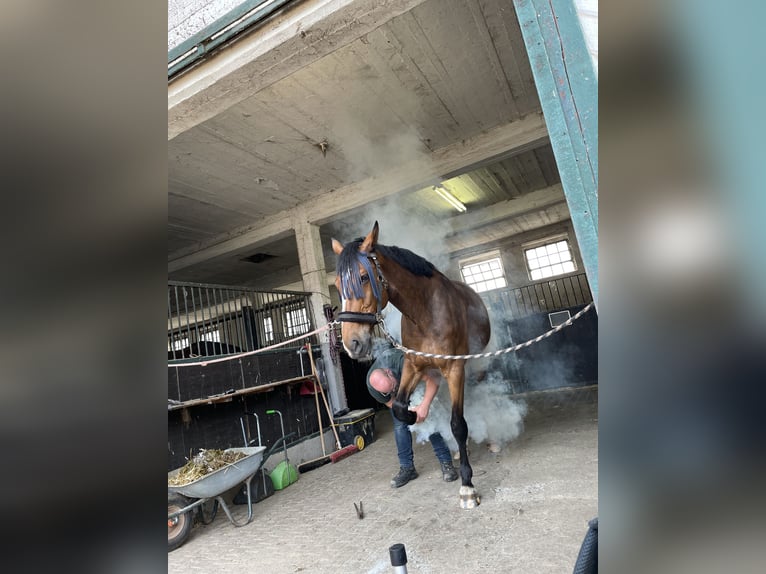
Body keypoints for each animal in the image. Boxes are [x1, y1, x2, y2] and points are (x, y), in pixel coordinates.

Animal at [332, 223, 492, 510]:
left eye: (363, 277)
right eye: (338, 284)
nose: (352, 344)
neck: (425, 313)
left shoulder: (455, 370)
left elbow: (458, 424)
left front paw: (467, 486)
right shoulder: (413, 366)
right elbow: (398, 407)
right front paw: (416, 416)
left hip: (474, 365)